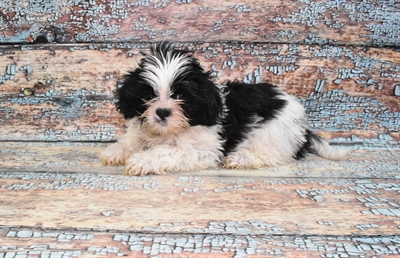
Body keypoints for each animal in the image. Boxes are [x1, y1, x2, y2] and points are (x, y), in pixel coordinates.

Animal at [100, 41, 346, 175]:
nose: (161, 112)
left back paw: (240, 158)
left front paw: (143, 160)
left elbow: (167, 151)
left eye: (180, 95)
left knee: (272, 154)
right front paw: (114, 152)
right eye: (149, 95)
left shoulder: (202, 149)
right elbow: (133, 140)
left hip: (273, 132)